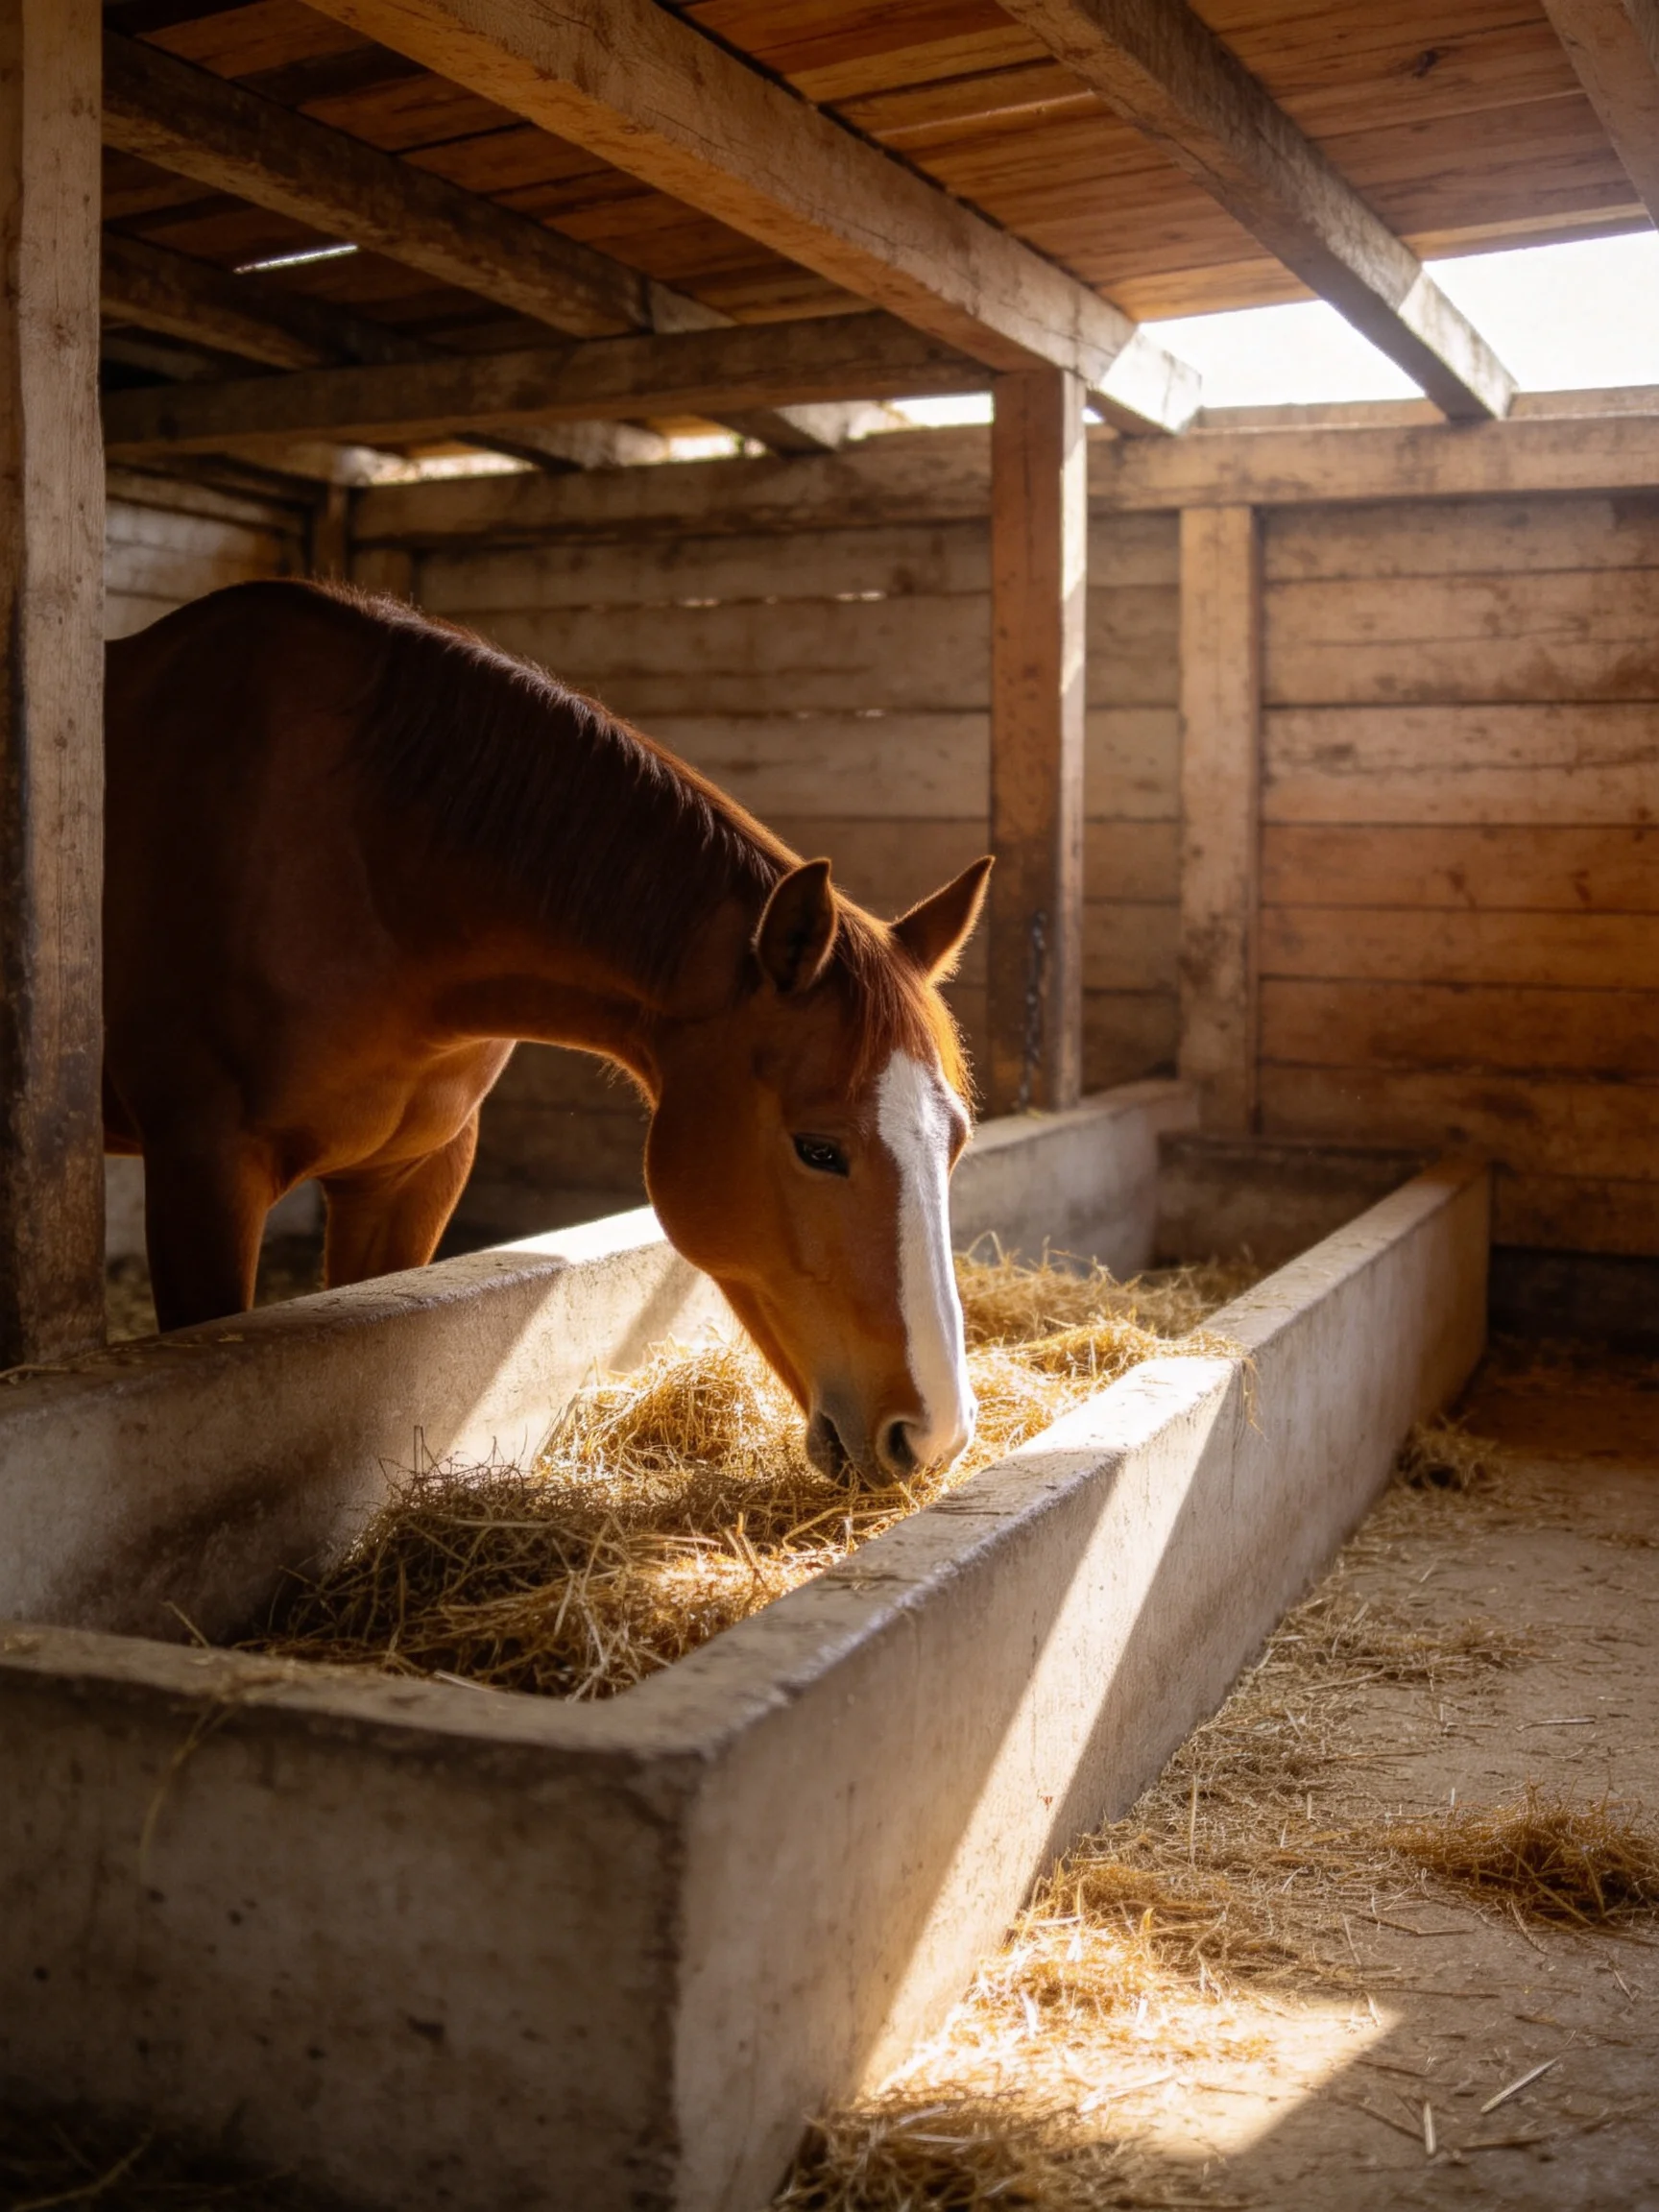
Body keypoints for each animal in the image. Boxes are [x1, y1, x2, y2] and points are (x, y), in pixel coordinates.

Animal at [104, 580, 992, 1484]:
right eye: (819, 1148)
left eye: (955, 1142)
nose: (936, 1436)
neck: (364, 867)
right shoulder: (204, 1172)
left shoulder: (413, 1175)